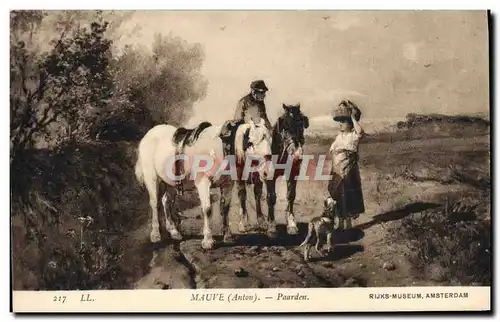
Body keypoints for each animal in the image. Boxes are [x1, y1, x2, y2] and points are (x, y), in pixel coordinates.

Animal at [135, 118, 272, 249]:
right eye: (251, 143)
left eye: (270, 141)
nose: (267, 172)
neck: (222, 147)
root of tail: (149, 134)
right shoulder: (203, 183)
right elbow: (207, 209)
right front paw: (207, 241)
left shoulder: (227, 184)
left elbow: (225, 208)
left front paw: (227, 236)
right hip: (152, 178)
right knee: (155, 204)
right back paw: (155, 234)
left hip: (171, 183)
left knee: (166, 202)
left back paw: (174, 232)